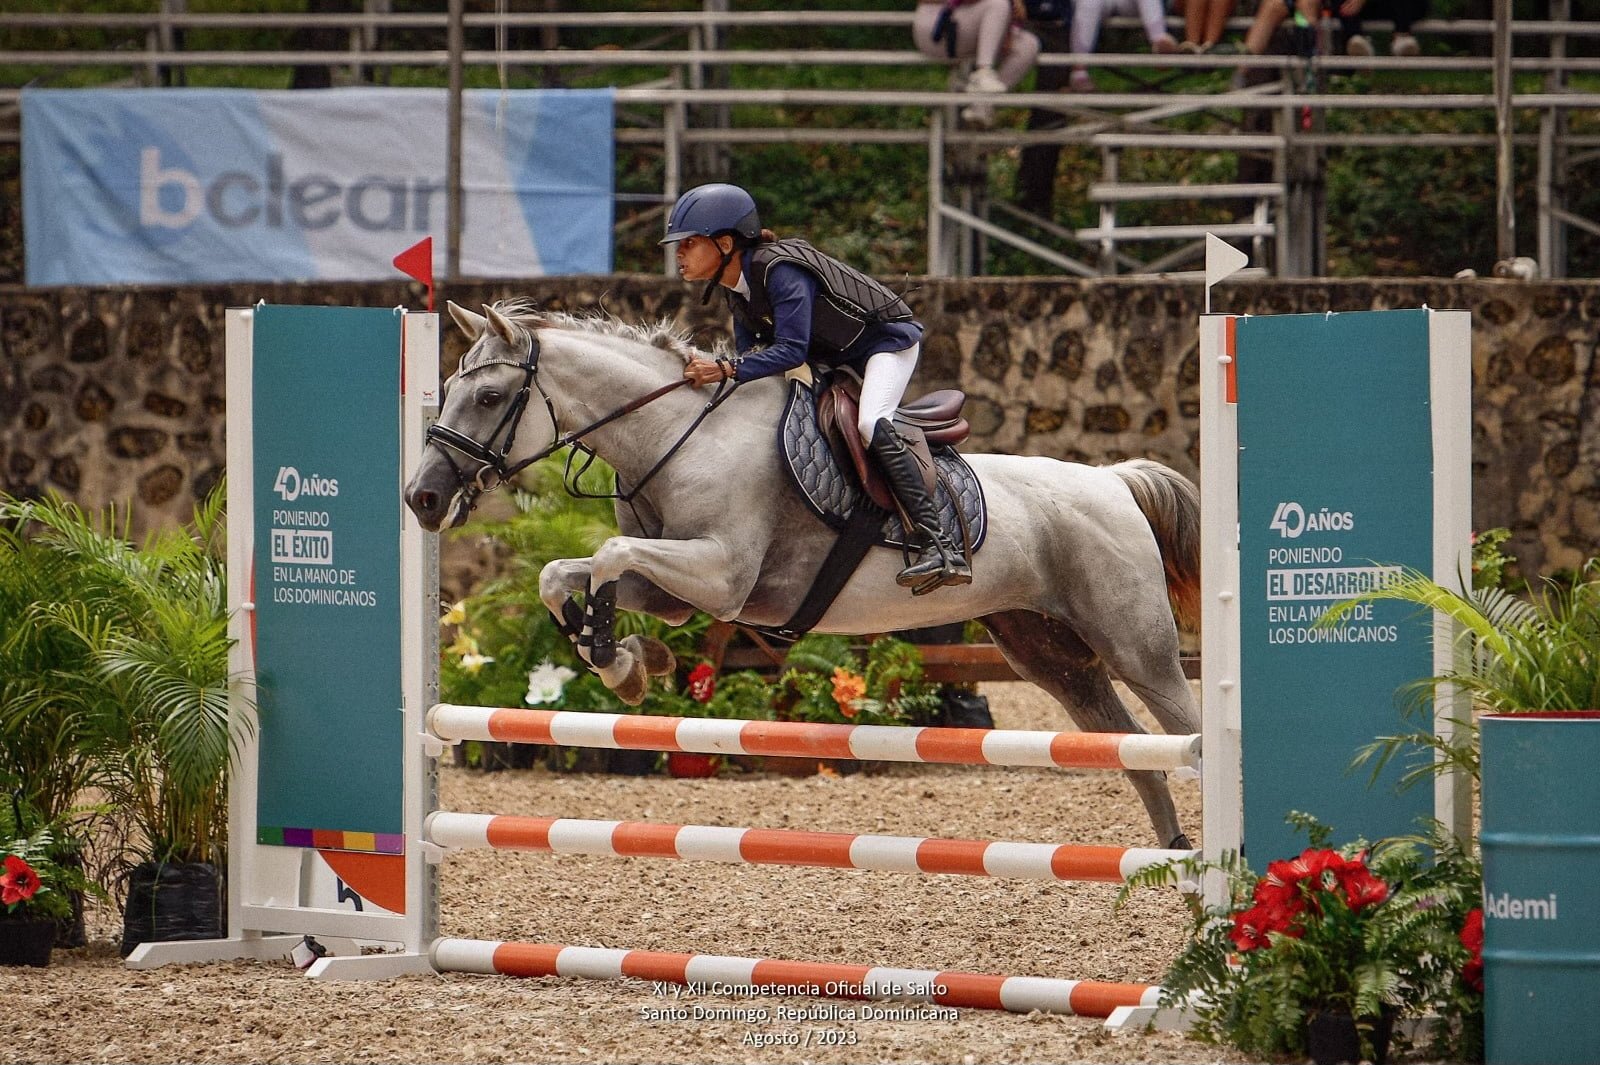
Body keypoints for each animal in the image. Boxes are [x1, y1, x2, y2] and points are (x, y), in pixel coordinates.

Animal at [406, 300, 1203, 844]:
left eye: (488, 397)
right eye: (446, 387)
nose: (424, 498)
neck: (675, 437)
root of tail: (1114, 480)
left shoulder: (722, 577)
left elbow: (605, 556)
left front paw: (619, 657)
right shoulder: (674, 591)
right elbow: (561, 573)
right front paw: (626, 660)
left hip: (1136, 644)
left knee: (1186, 731)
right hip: (1049, 655)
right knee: (1138, 753)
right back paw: (1174, 856)